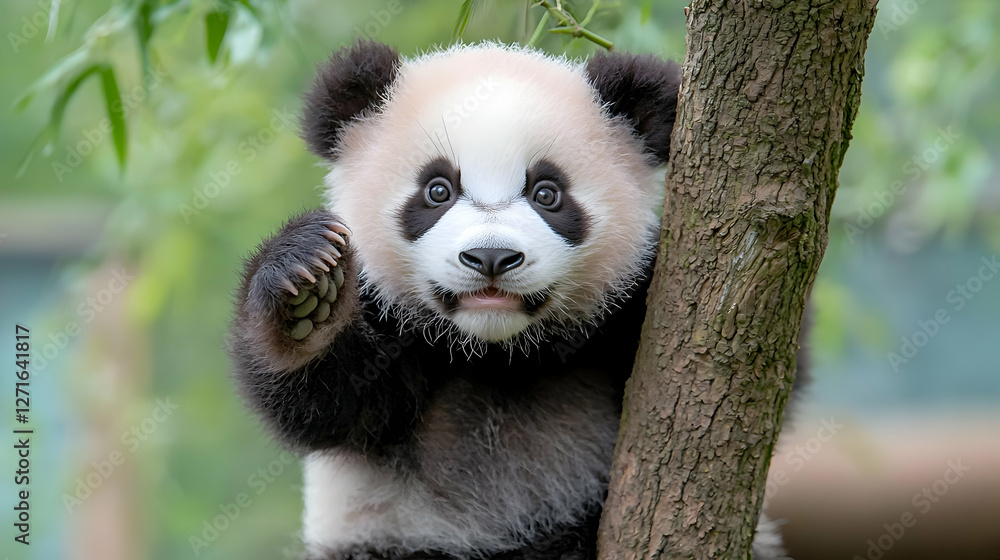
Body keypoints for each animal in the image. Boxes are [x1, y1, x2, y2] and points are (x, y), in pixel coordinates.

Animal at [229, 41, 804, 560]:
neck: (498, 352)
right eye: (437, 190)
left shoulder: (624, 308)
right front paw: (309, 299)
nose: (491, 257)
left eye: (547, 193)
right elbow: (324, 402)